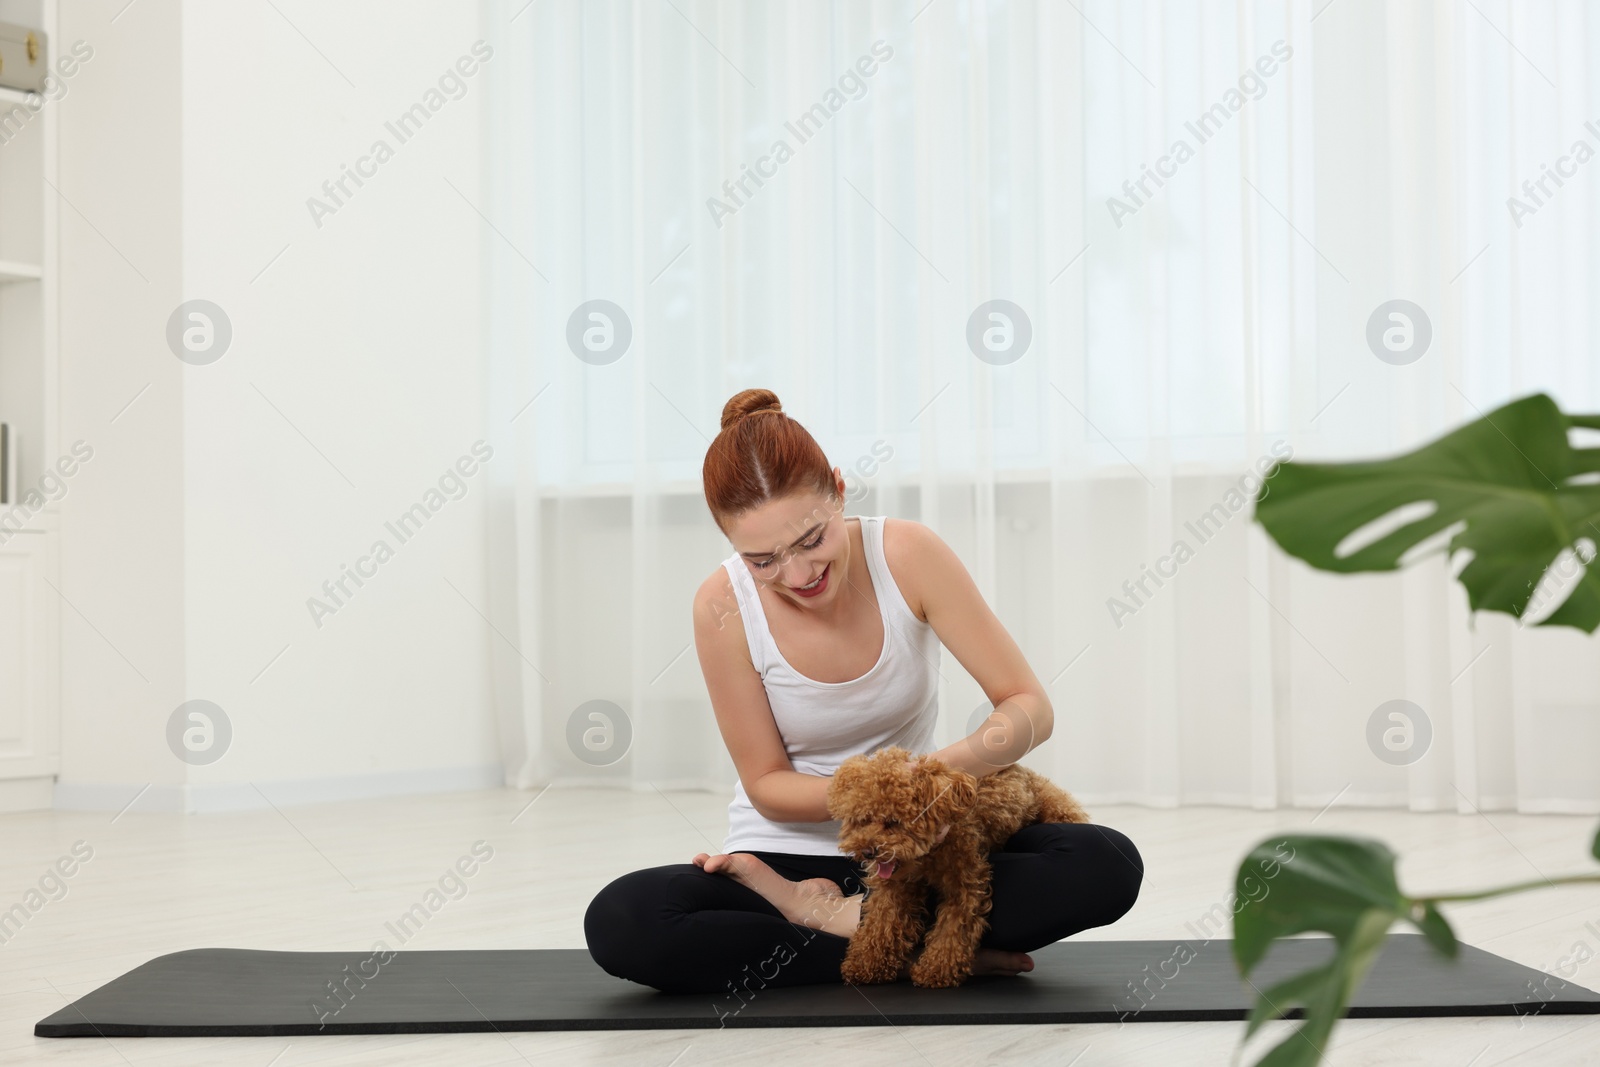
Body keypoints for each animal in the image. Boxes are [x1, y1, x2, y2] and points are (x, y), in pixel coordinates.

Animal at [825, 748, 1088, 991]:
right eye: (863, 819)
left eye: (893, 822)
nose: (868, 851)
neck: (928, 855)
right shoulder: (897, 887)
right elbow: (881, 924)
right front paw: (865, 964)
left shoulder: (965, 884)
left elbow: (952, 929)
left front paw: (934, 971)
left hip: (1055, 807)